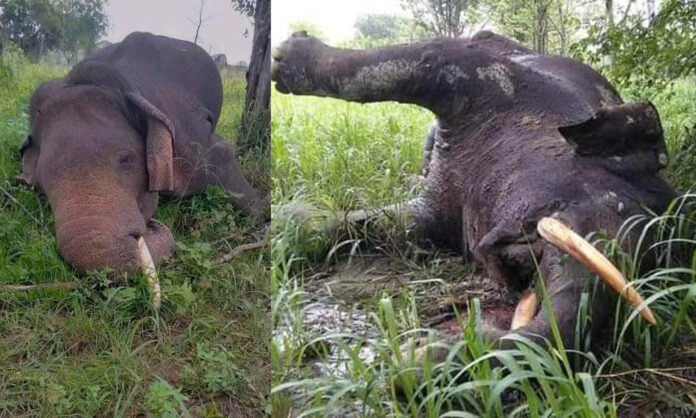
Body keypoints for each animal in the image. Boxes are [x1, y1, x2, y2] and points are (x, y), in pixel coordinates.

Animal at [19, 32, 268, 282]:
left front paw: (265, 215)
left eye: (126, 160)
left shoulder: (189, 136)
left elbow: (221, 152)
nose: (153, 225)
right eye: (41, 183)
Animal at [272, 31, 676, 352]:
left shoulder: (443, 215)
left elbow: (385, 224)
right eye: (617, 201)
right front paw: (286, 54)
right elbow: (416, 57)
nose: (420, 351)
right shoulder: (477, 72)